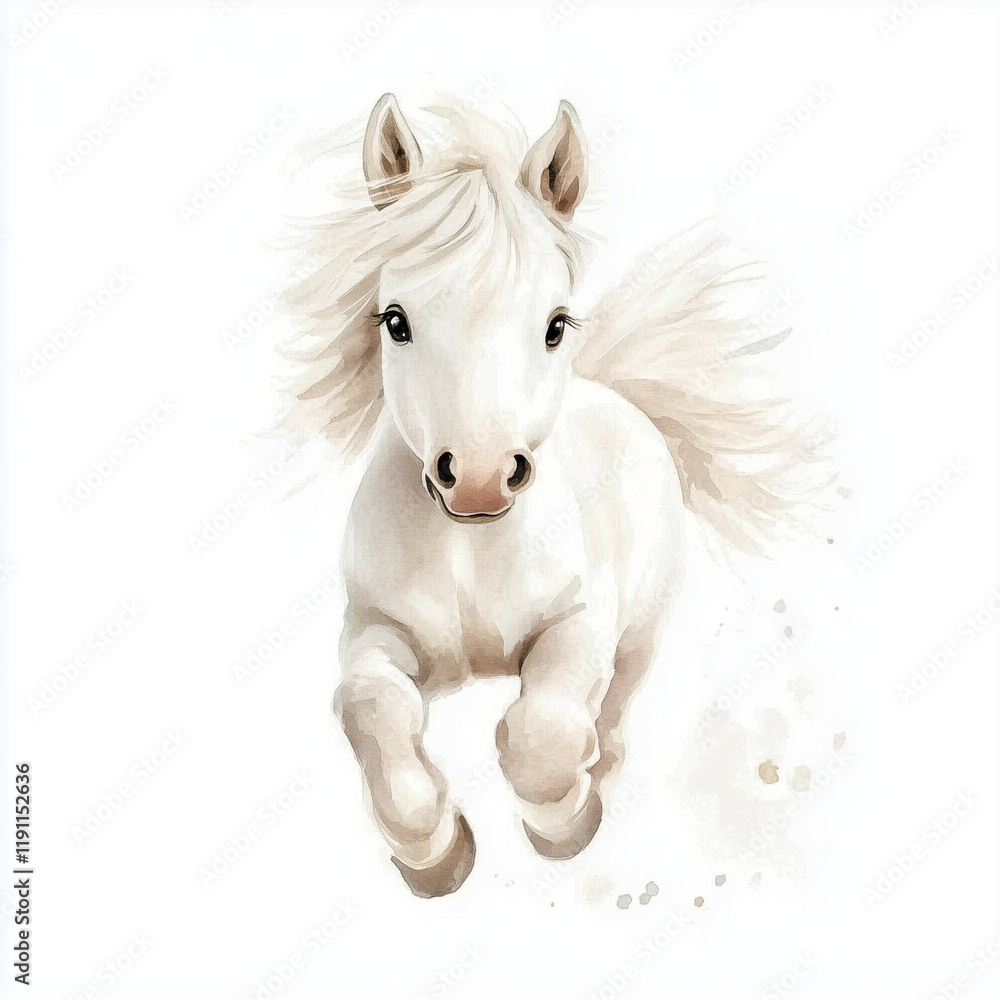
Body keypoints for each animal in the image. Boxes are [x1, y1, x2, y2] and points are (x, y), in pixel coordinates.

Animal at [277, 94, 828, 897]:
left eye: (555, 324)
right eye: (395, 320)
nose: (478, 477)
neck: (473, 551)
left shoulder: (581, 626)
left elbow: (543, 732)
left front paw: (564, 823)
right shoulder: (378, 633)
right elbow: (371, 708)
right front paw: (434, 852)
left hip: (643, 634)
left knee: (615, 709)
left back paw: (601, 774)